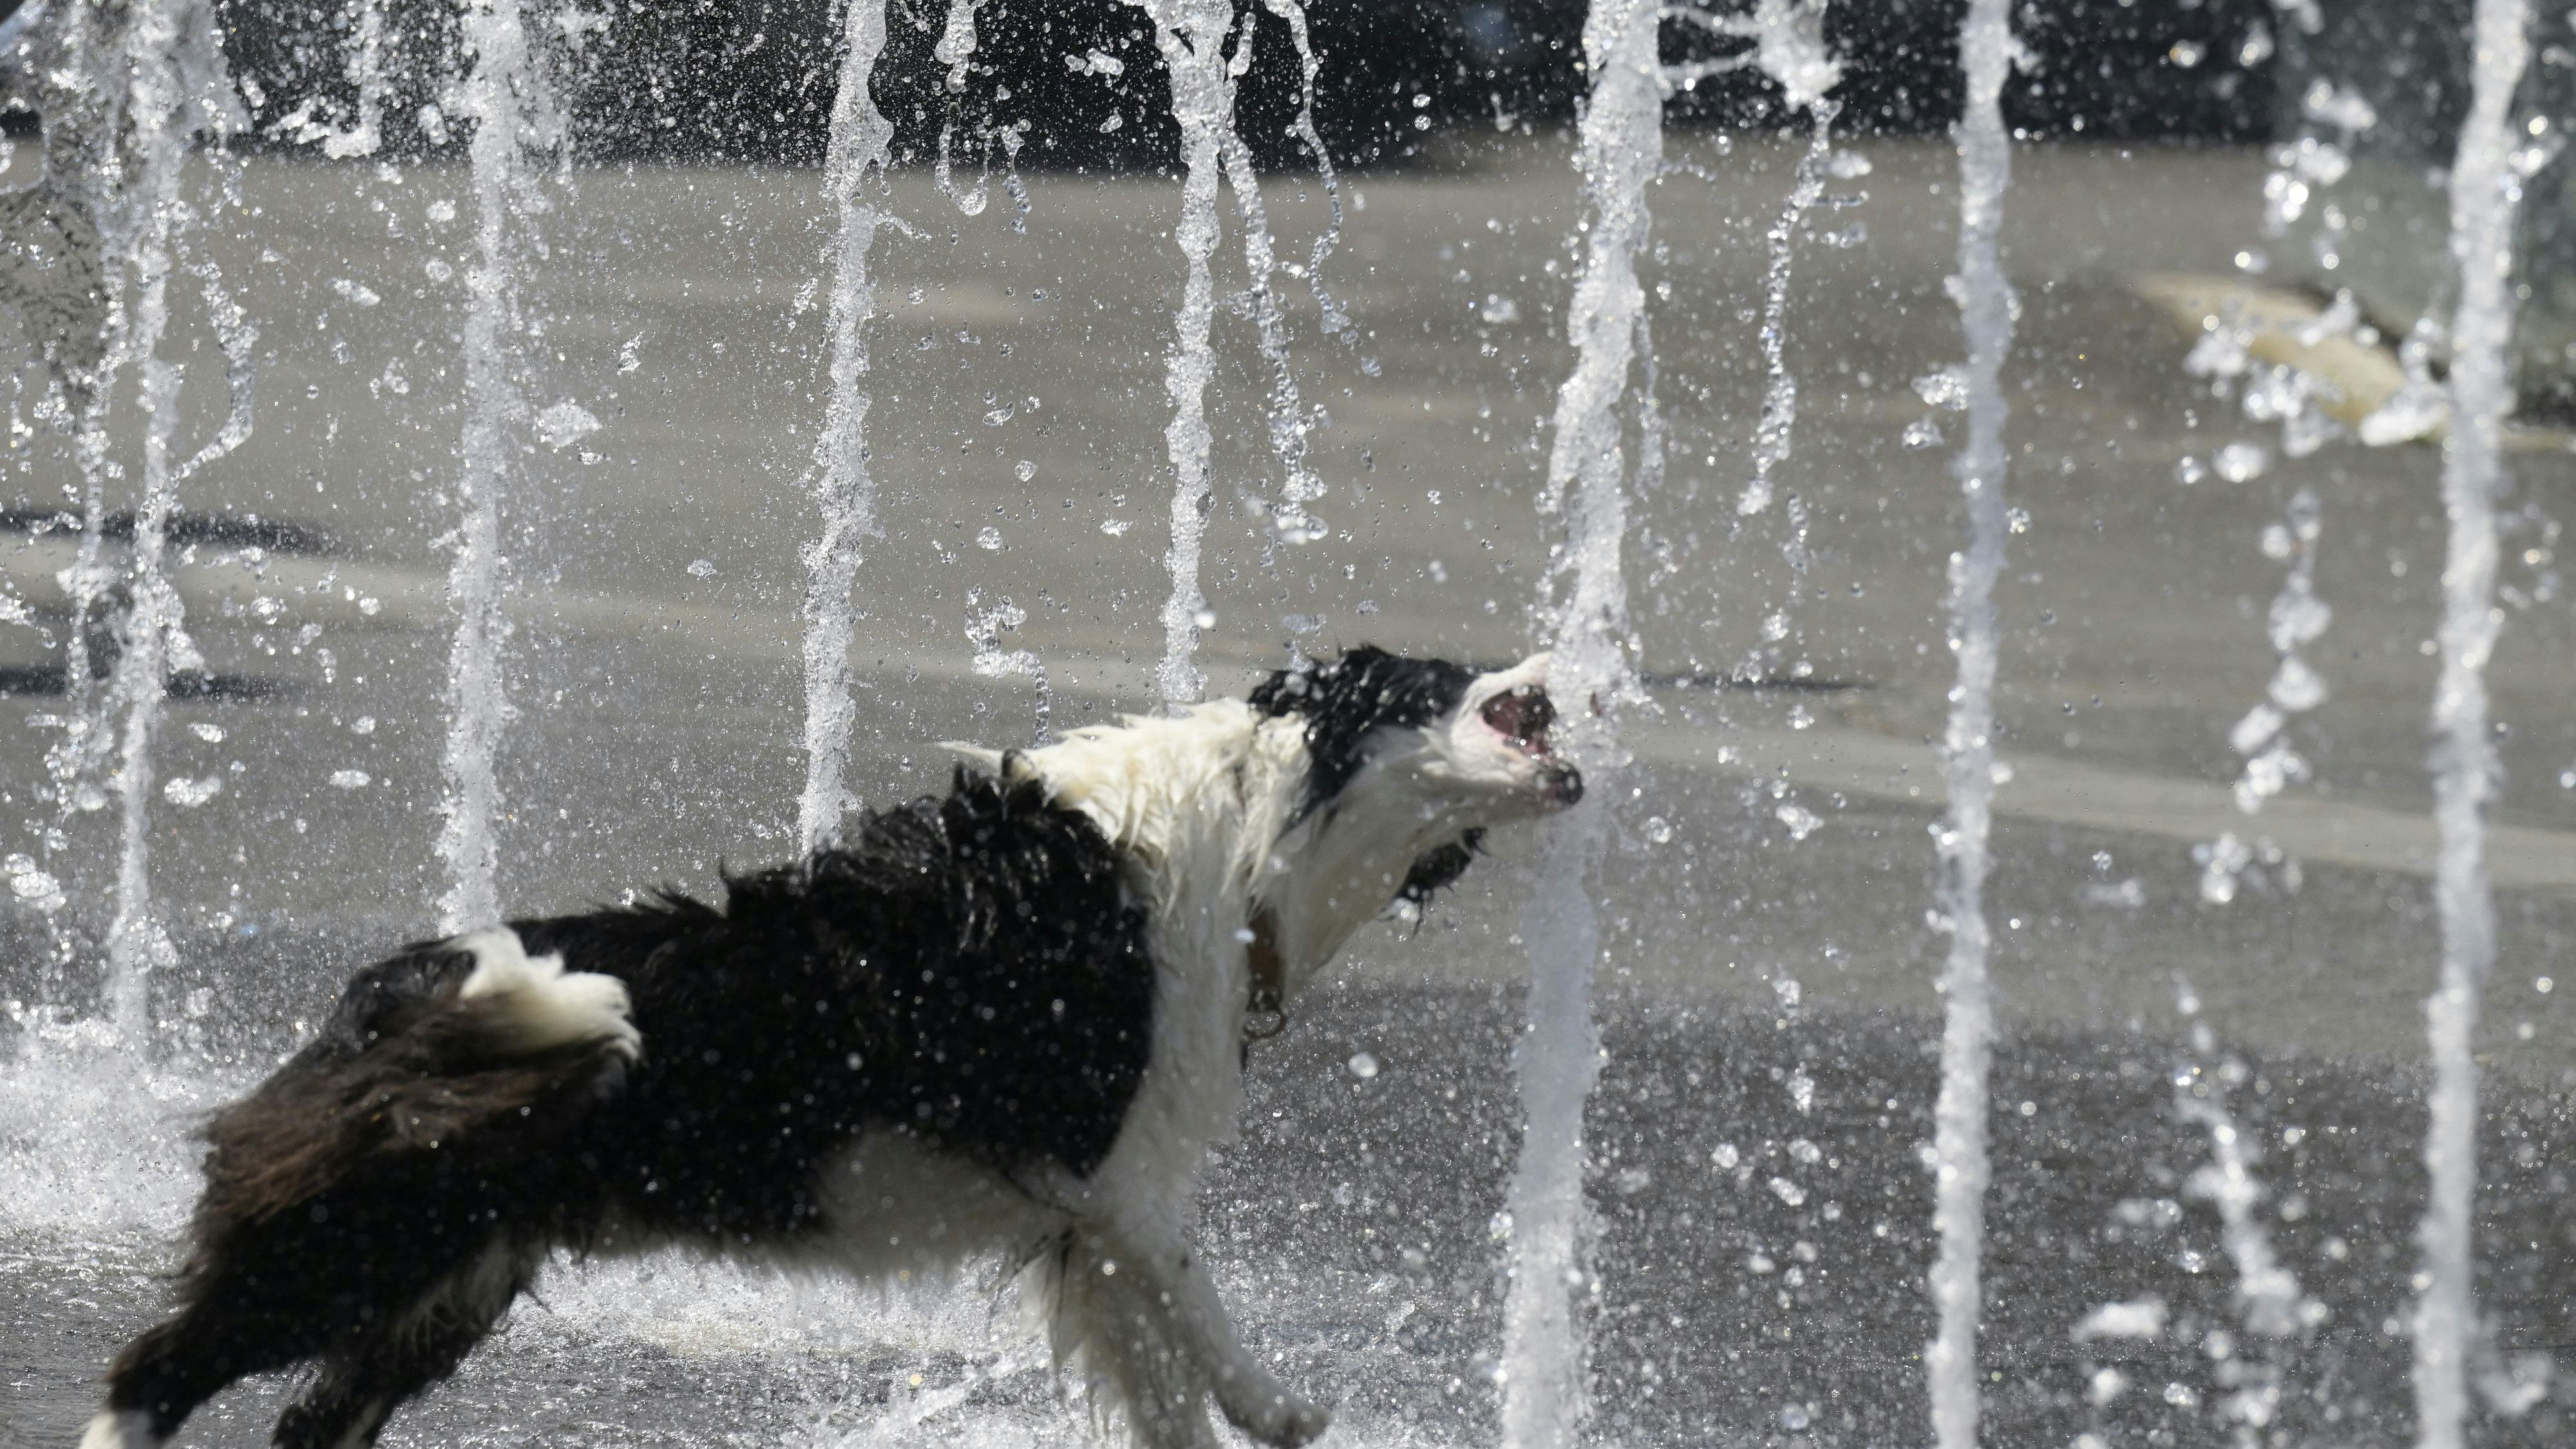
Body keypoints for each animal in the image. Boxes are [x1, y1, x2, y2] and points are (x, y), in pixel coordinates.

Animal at [86, 644, 1566, 1443]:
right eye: (1449, 682)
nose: (1562, 672)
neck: (1251, 838)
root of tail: (389, 990)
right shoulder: (1123, 1178)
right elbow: (1208, 1310)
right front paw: (1289, 1410)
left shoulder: (1088, 1237)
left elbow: (1163, 1388)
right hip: (357, 1236)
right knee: (154, 1370)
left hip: (444, 1277)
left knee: (302, 1414)